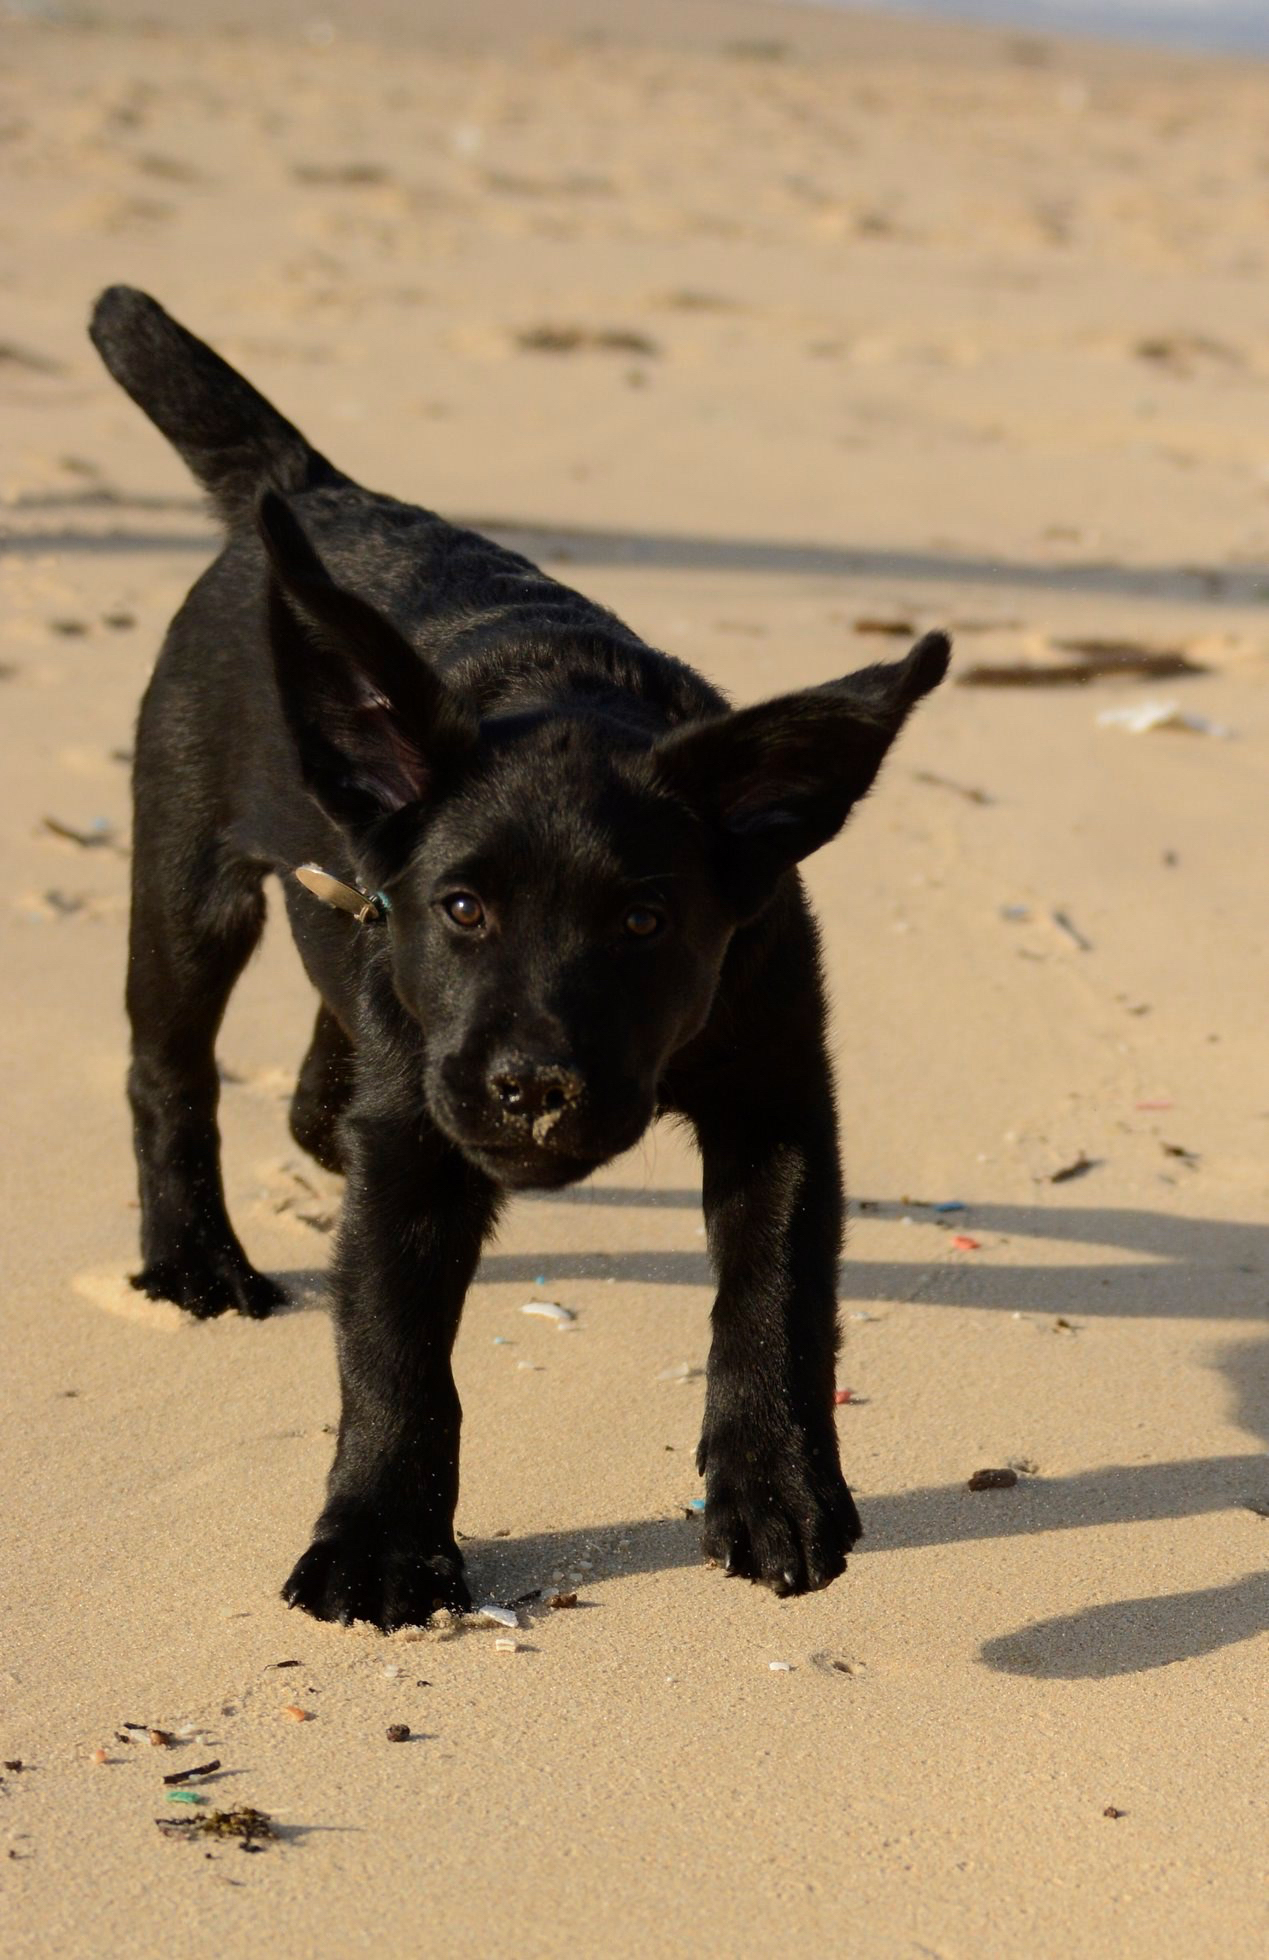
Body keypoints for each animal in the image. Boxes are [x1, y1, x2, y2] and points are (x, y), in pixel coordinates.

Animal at [89, 284, 949, 1630]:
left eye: (646, 922)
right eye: (462, 908)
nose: (531, 1089)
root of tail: (319, 491)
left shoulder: (778, 1097)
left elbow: (777, 1299)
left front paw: (777, 1490)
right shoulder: (418, 1138)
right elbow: (393, 1351)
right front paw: (381, 1543)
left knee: (318, 1053)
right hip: (186, 869)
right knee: (167, 1071)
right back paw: (195, 1260)